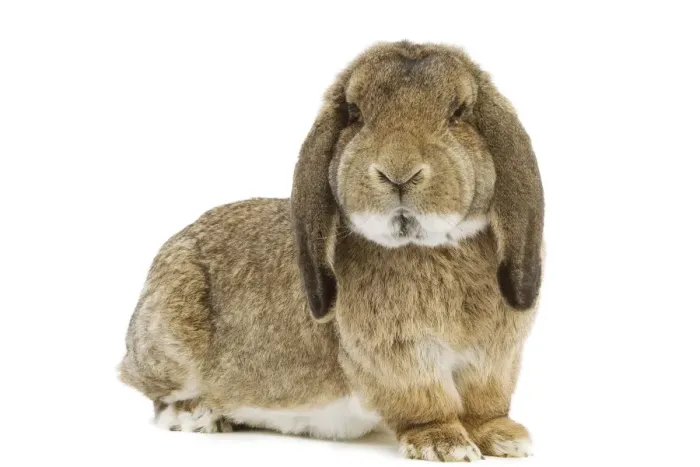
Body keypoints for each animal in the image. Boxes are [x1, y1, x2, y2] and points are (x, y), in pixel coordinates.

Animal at [119, 40, 544, 462]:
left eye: (458, 113)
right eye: (355, 113)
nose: (398, 172)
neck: (428, 246)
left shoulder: (494, 358)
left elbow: (484, 403)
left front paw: (505, 438)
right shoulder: (396, 355)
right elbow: (426, 401)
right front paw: (444, 444)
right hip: (170, 345)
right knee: (156, 396)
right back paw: (196, 415)